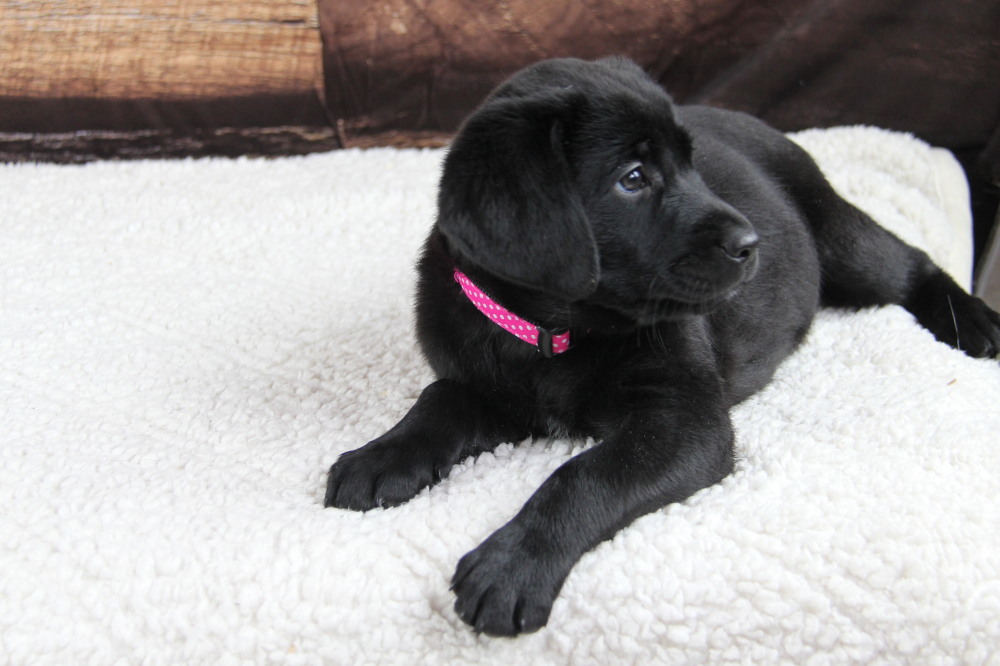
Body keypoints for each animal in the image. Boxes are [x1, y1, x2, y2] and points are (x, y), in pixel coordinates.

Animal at [324, 55, 996, 632]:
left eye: (690, 168)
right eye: (633, 178)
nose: (752, 243)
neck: (555, 333)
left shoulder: (685, 420)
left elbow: (582, 476)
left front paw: (512, 564)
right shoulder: (482, 382)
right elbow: (436, 403)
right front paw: (380, 457)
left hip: (839, 240)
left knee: (912, 264)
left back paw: (976, 323)